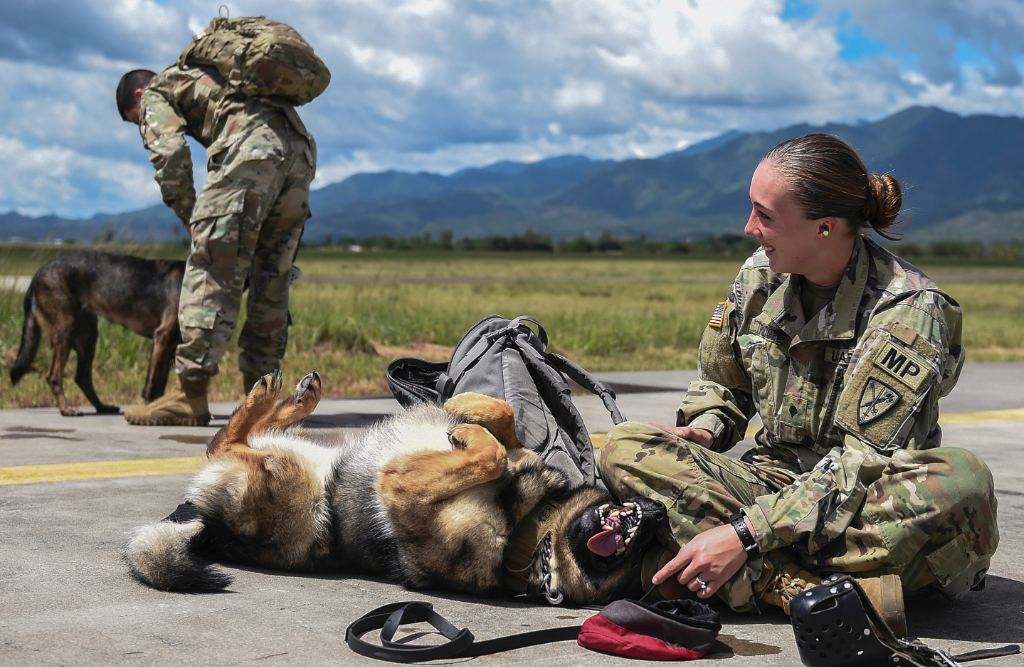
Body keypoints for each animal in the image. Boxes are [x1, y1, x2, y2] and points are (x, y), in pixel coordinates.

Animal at [9, 252, 184, 413]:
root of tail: (36, 276)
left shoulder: (169, 346)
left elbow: (159, 383)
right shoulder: (164, 337)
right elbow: (153, 383)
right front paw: (151, 409)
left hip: (88, 336)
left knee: (82, 377)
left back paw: (102, 407)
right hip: (65, 330)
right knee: (53, 375)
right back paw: (66, 409)